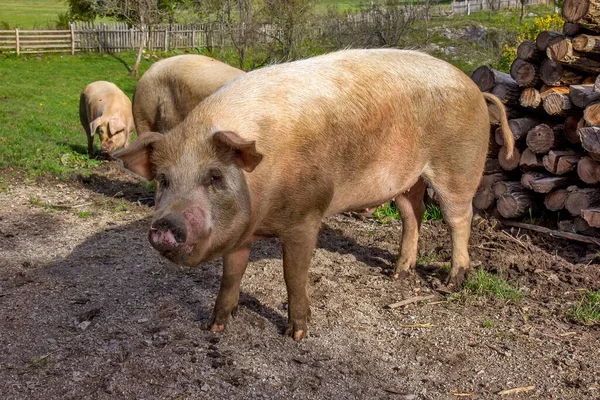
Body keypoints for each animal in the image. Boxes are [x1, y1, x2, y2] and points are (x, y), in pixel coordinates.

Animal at [113, 47, 516, 340]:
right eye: (163, 180)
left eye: (214, 177)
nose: (167, 225)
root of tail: (475, 88)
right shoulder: (239, 233)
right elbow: (231, 276)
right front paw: (214, 327)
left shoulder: (306, 218)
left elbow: (294, 275)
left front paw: (296, 335)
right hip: (407, 178)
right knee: (411, 214)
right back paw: (397, 275)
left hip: (459, 165)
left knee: (459, 218)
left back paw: (451, 281)